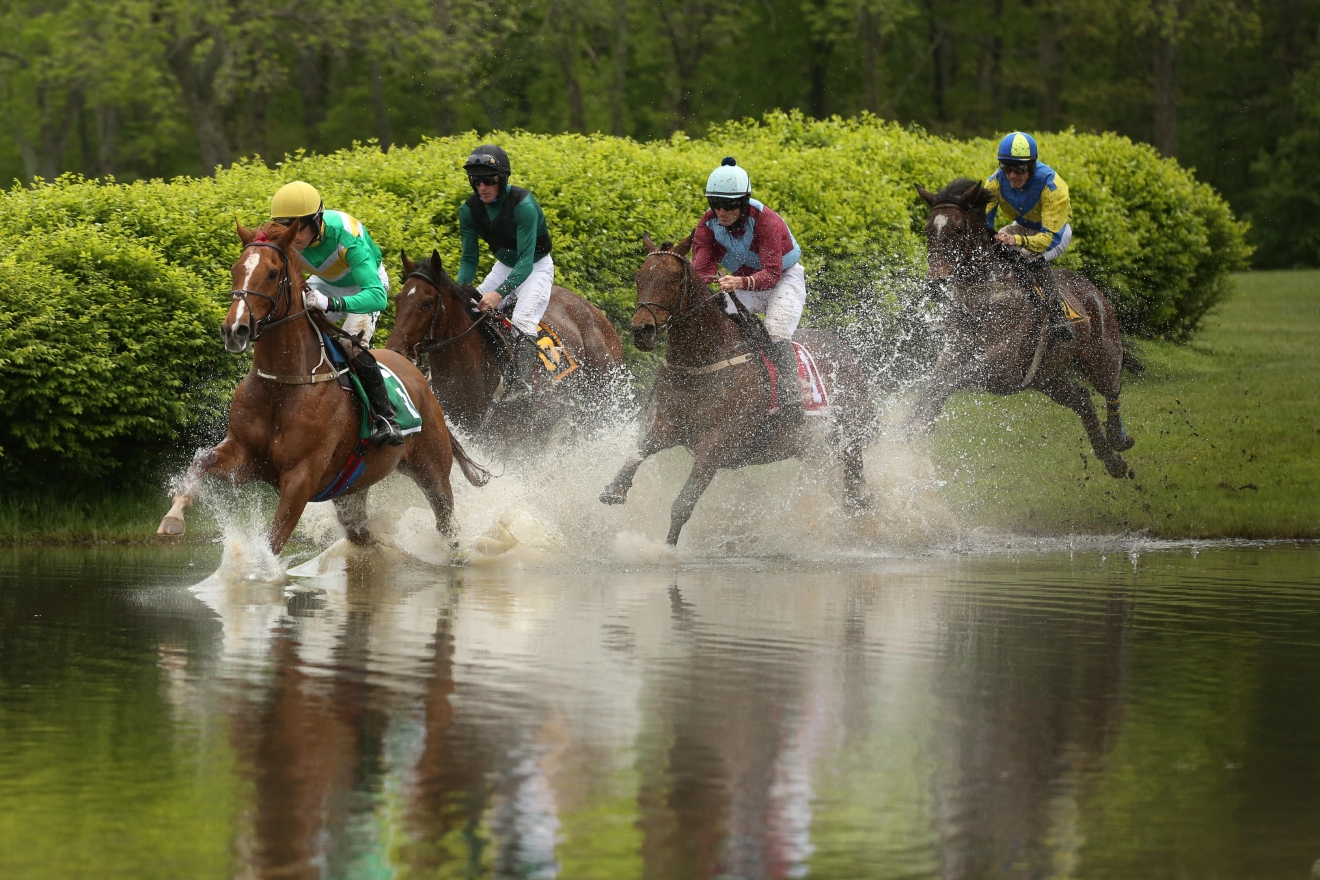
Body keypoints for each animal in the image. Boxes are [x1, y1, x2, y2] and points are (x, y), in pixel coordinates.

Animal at [154, 224, 485, 562]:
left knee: (447, 526)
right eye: (236, 269)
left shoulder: (301, 477)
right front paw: (173, 517)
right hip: (352, 487)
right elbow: (202, 460)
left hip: (433, 469)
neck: (282, 384)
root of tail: (419, 377)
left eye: (272, 273)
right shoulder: (245, 455)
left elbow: (272, 544)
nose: (235, 330)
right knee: (362, 535)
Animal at [601, 233, 876, 551]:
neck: (703, 360)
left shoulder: (716, 447)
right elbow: (638, 450)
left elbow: (683, 504)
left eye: (671, 279)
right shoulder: (668, 426)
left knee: (854, 492)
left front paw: (668, 550)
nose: (641, 330)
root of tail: (843, 346)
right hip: (813, 444)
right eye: (639, 276)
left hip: (851, 438)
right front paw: (615, 489)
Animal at [908, 180, 1135, 482]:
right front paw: (911, 422)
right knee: (1083, 400)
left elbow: (953, 378)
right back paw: (1113, 460)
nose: (935, 283)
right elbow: (934, 381)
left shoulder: (1002, 365)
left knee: (1111, 388)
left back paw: (1119, 440)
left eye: (957, 229)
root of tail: (1094, 290)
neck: (983, 300)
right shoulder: (954, 350)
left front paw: (922, 423)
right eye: (927, 230)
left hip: (1101, 355)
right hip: (1047, 377)